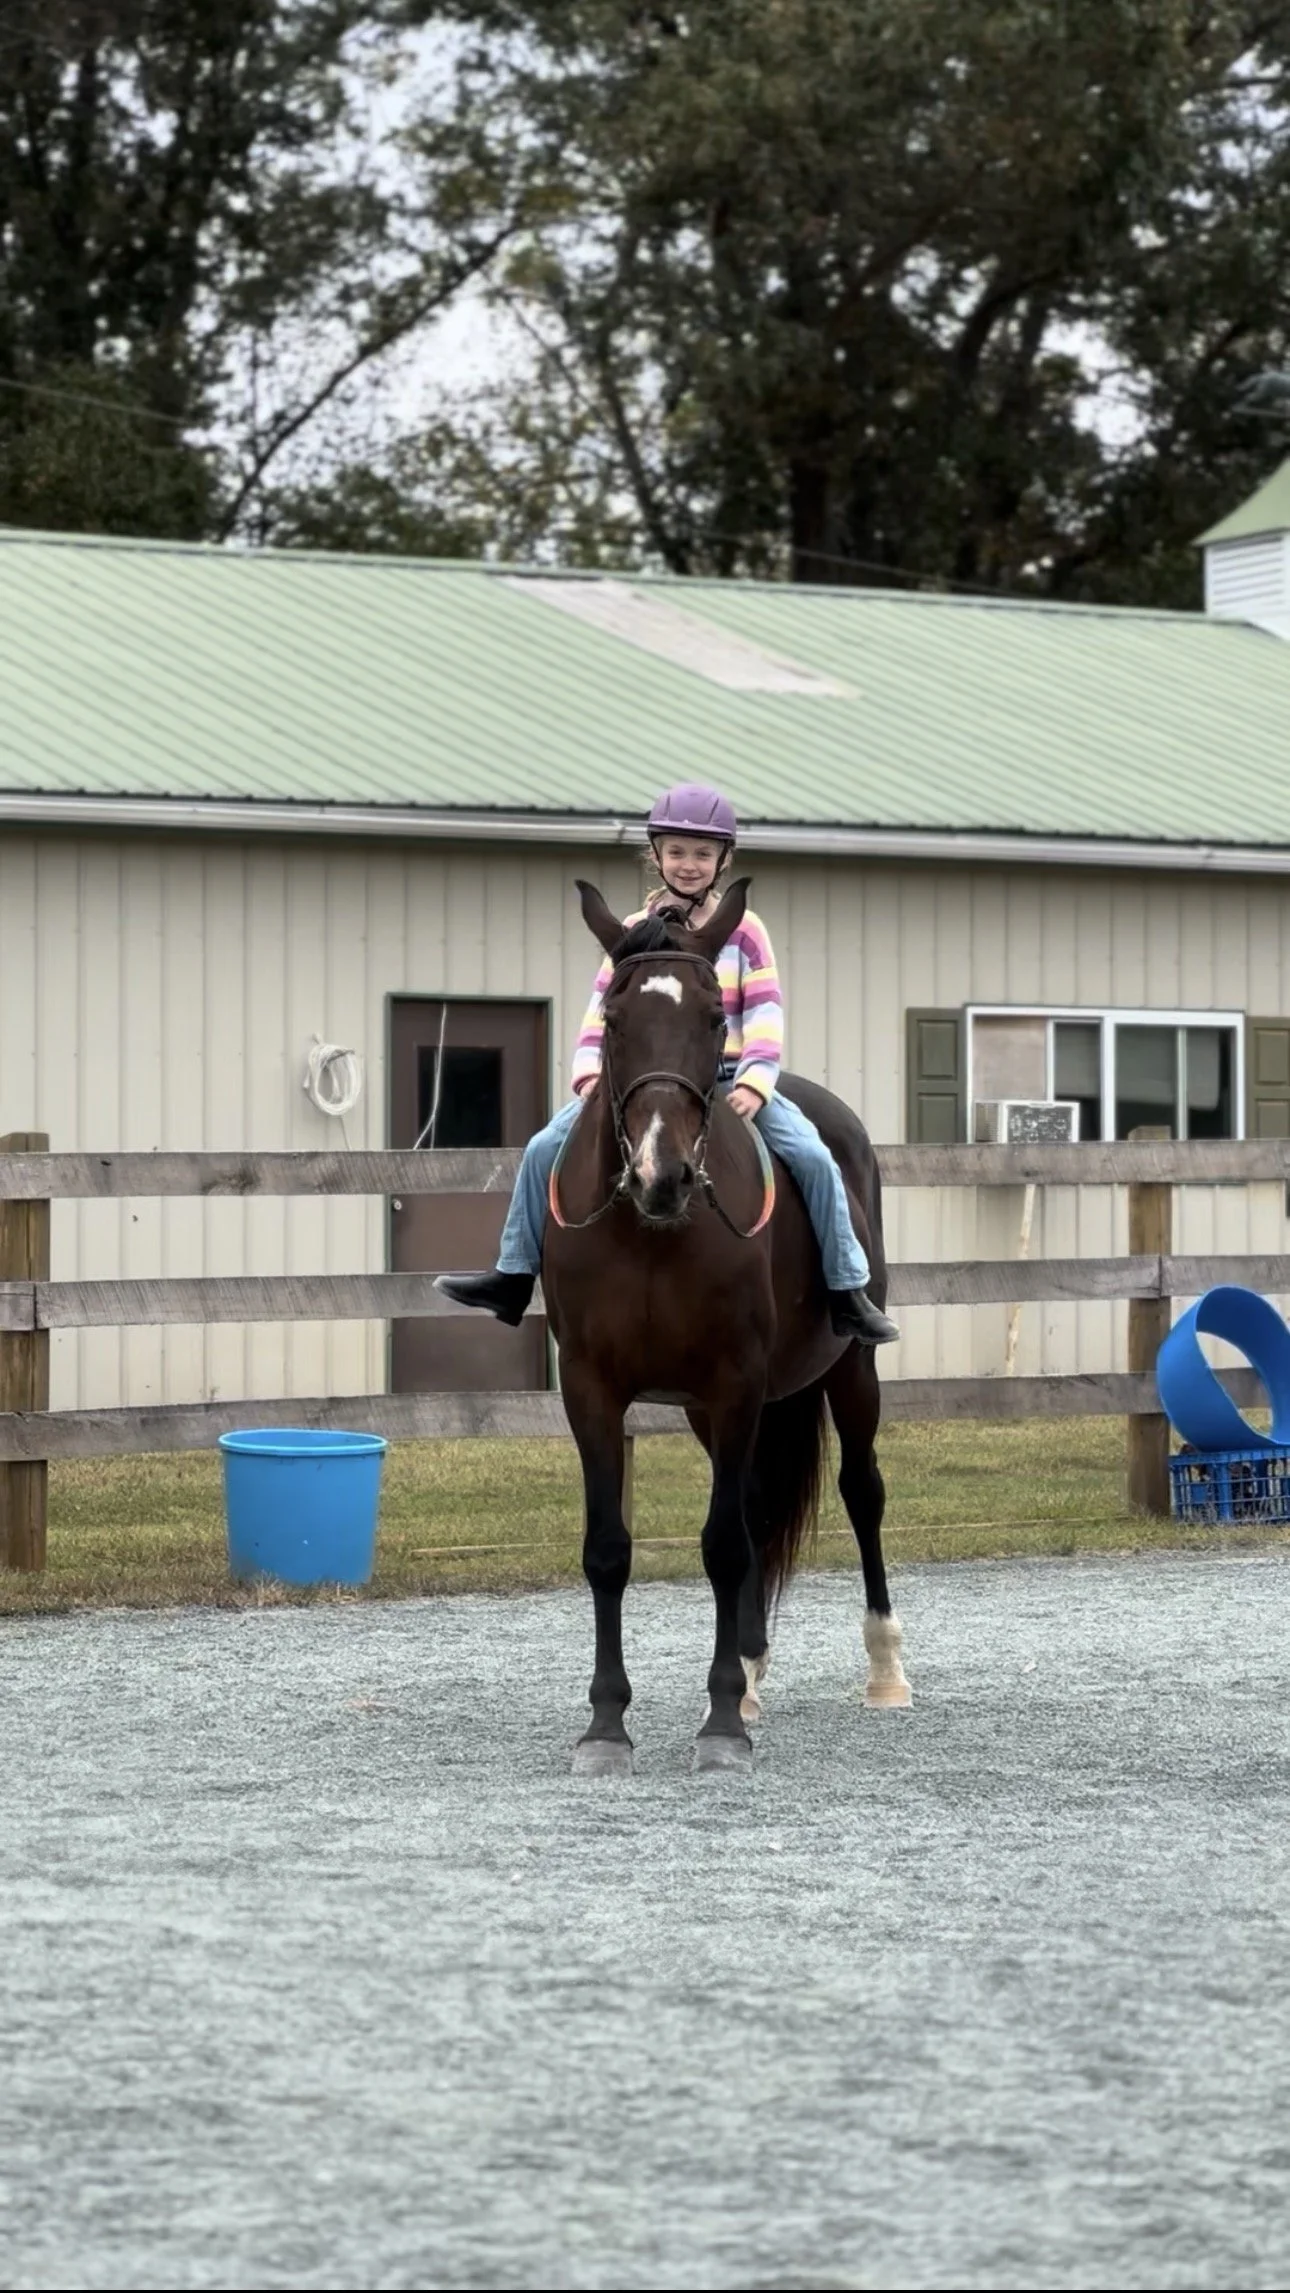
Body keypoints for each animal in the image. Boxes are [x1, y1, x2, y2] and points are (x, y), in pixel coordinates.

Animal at [542, 877, 910, 1776]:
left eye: (717, 1017)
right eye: (613, 1019)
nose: (662, 1173)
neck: (650, 1231)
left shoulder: (735, 1381)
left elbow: (723, 1545)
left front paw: (720, 1726)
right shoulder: (593, 1390)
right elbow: (610, 1549)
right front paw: (607, 1726)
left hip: (848, 1373)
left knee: (862, 1492)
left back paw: (884, 1669)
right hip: (717, 1415)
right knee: (750, 1507)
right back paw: (750, 1669)